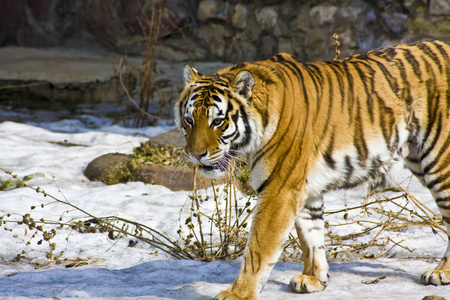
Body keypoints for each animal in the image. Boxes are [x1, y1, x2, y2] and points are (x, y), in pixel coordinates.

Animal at [173, 40, 450, 300]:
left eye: (217, 121)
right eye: (189, 120)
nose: (196, 154)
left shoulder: (279, 189)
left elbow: (259, 248)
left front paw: (238, 294)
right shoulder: (303, 187)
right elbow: (311, 235)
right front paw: (314, 278)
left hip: (439, 161)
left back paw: (440, 273)